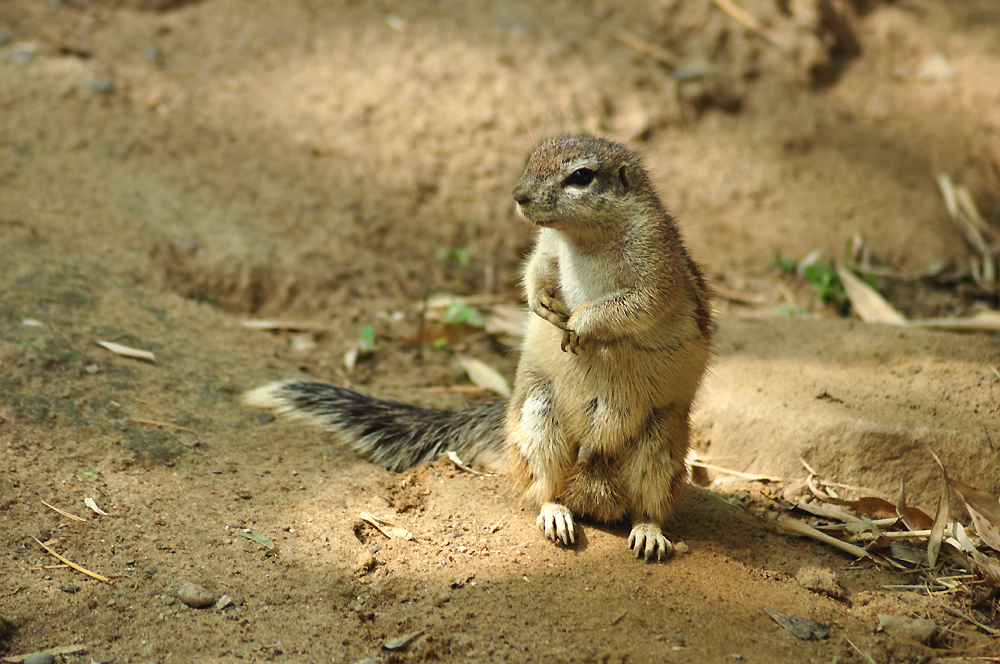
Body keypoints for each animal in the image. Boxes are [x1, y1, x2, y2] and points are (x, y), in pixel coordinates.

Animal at [244, 137, 712, 564]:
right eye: (531, 158)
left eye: (581, 176)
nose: (518, 195)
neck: (583, 238)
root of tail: (595, 488)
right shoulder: (547, 247)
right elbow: (535, 269)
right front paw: (541, 301)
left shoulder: (657, 261)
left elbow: (637, 302)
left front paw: (582, 321)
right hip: (538, 419)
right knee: (543, 487)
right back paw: (556, 513)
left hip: (661, 444)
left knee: (648, 504)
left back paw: (648, 532)